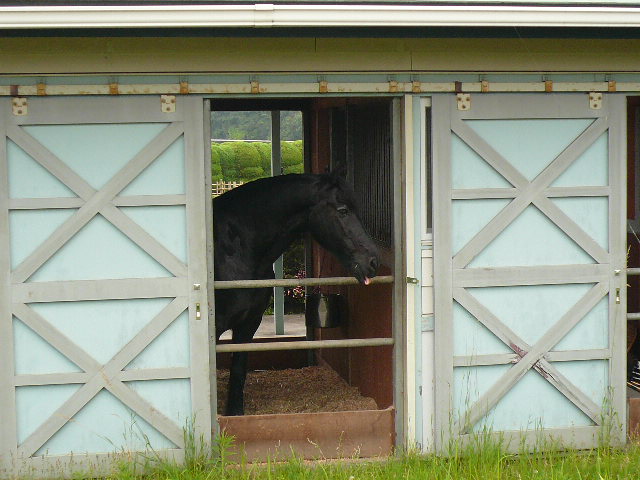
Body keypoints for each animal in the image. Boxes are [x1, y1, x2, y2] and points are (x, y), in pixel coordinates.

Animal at [214, 170, 380, 416]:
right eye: (343, 210)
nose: (373, 261)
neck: (235, 248)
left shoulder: (248, 323)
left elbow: (238, 370)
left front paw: (234, 414)